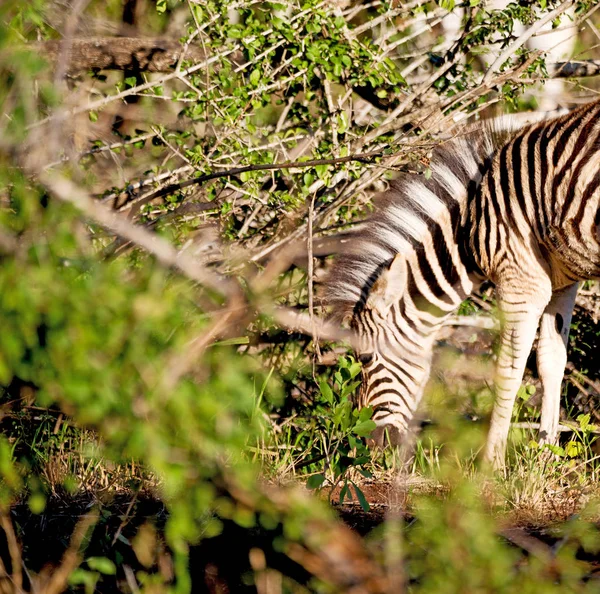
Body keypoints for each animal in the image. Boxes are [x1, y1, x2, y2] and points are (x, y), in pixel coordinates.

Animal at [326, 97, 600, 468]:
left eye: (365, 359)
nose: (370, 445)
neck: (468, 227)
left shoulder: (521, 277)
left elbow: (508, 369)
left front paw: (492, 466)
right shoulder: (560, 279)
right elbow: (551, 361)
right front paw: (545, 458)